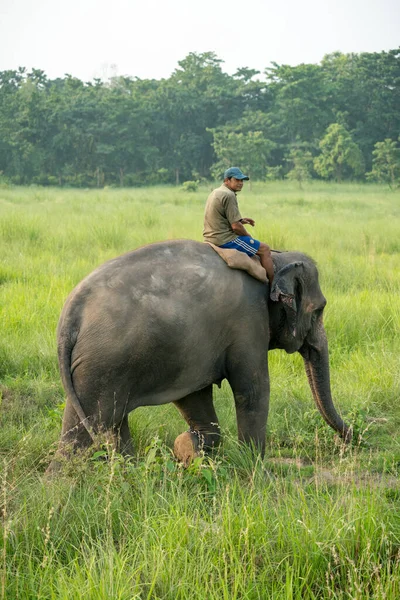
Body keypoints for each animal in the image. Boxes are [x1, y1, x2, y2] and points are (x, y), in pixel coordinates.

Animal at [48, 238, 352, 468]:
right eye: (320, 310)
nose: (351, 439)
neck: (276, 259)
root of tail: (70, 314)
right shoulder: (249, 323)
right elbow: (252, 391)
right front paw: (253, 469)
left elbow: (193, 396)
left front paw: (188, 447)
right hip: (102, 364)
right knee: (84, 432)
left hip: (102, 366)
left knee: (109, 422)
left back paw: (128, 473)